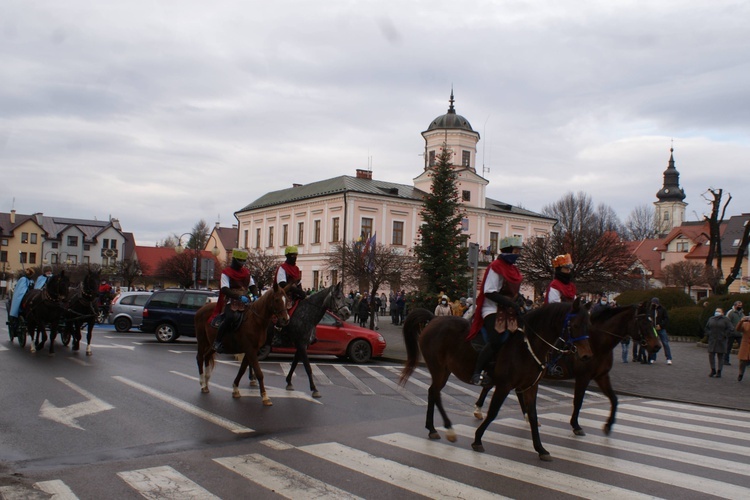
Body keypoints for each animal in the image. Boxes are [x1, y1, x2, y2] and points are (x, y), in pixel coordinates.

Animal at [400, 296, 592, 460]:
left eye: (588, 324)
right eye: (575, 324)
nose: (586, 355)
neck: (527, 347)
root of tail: (433, 319)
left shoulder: (531, 387)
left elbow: (533, 415)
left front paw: (540, 449)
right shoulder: (504, 386)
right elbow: (493, 412)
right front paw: (477, 439)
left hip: (444, 370)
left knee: (432, 392)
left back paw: (432, 428)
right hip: (439, 369)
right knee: (435, 393)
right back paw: (448, 429)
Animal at [476, 302, 664, 436]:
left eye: (653, 321)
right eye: (643, 322)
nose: (657, 346)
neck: (597, 342)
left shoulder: (602, 376)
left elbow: (614, 399)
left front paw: (608, 425)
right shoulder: (583, 377)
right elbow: (578, 401)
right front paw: (576, 425)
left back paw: (527, 417)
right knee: (489, 386)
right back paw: (478, 410)